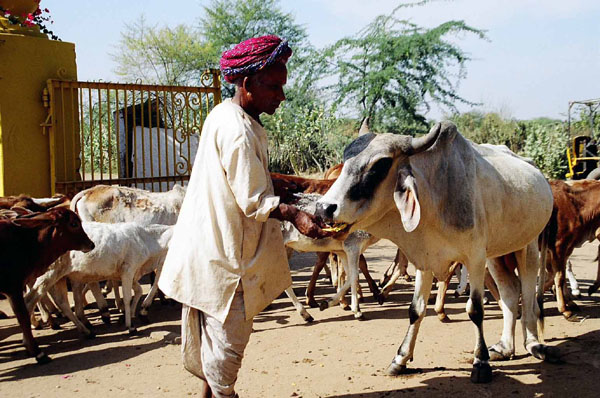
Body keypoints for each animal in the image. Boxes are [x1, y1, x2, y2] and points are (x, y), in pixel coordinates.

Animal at [316, 121, 556, 382]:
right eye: (345, 158)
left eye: (380, 164)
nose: (324, 207)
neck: (437, 196)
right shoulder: (425, 260)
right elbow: (416, 310)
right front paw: (400, 359)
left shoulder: (474, 258)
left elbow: (476, 310)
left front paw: (480, 362)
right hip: (496, 254)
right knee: (511, 291)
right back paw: (504, 347)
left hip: (527, 245)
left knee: (528, 293)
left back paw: (533, 344)